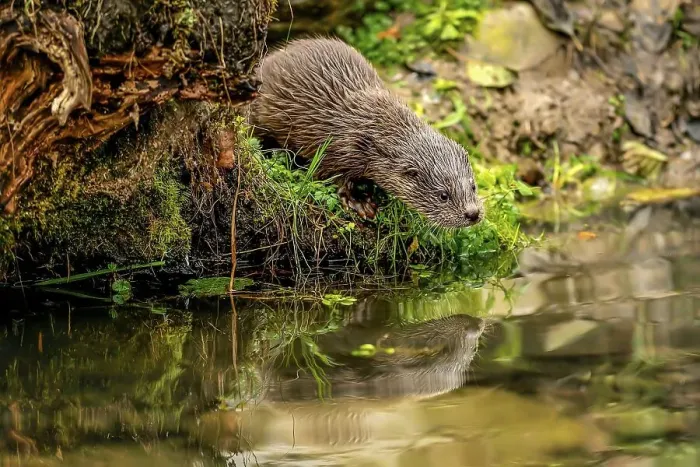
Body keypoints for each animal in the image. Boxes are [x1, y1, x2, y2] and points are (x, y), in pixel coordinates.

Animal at [250, 37, 484, 228]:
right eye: (443, 195)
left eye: (473, 186)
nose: (472, 213)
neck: (374, 131)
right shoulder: (337, 150)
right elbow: (334, 178)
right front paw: (359, 203)